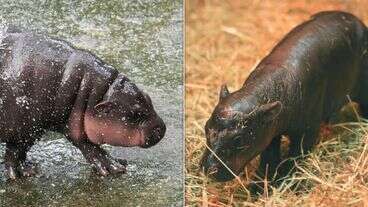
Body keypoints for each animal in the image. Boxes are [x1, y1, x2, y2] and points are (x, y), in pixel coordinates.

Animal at [0, 27, 165, 180]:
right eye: (135, 114)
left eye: (148, 98)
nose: (162, 128)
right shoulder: (24, 130)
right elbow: (16, 153)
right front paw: (24, 172)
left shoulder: (73, 121)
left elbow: (88, 145)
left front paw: (116, 164)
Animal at [203, 10, 368, 186]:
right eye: (206, 127)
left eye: (239, 139)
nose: (208, 169)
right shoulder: (269, 131)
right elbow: (269, 158)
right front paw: (259, 185)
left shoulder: (307, 131)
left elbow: (296, 156)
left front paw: (287, 182)